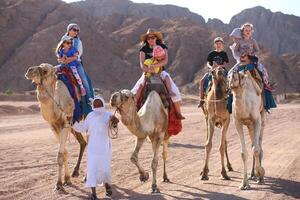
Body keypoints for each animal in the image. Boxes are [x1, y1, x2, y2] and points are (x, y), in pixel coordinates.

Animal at [24, 63, 86, 191]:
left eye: (45, 70)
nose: (29, 71)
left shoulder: (65, 124)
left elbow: (60, 155)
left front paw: (58, 184)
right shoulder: (54, 126)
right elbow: (65, 153)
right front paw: (67, 180)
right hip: (74, 126)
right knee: (83, 142)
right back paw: (76, 172)